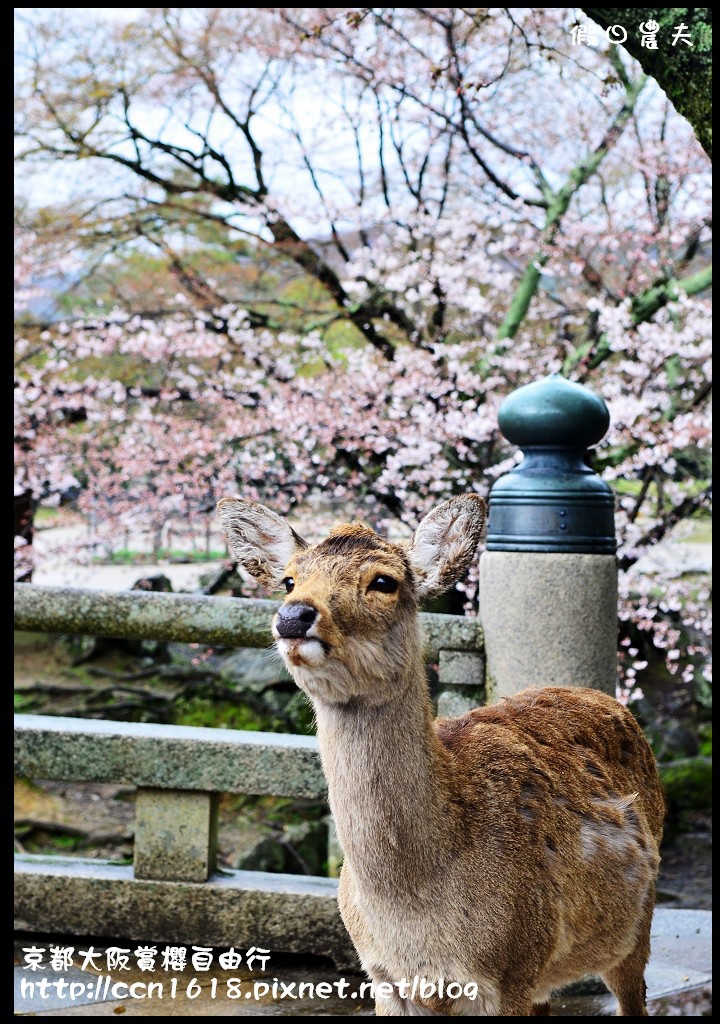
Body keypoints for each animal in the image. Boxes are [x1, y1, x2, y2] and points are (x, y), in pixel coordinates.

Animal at [217, 491, 667, 1011]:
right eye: (289, 579)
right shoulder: (383, 977)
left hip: (636, 929)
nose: (293, 615)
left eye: (383, 581)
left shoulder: (511, 971)